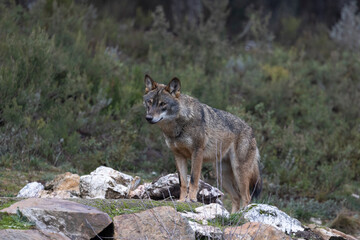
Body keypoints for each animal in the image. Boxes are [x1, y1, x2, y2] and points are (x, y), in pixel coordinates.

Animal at [143, 74, 262, 212]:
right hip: (221, 175)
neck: (178, 127)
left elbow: (193, 180)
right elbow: (183, 182)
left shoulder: (197, 152)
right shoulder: (178, 156)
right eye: (149, 102)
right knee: (236, 197)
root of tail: (251, 129)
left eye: (162, 104)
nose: (148, 118)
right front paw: (181, 201)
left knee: (246, 197)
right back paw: (233, 215)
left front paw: (191, 199)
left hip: (238, 172)